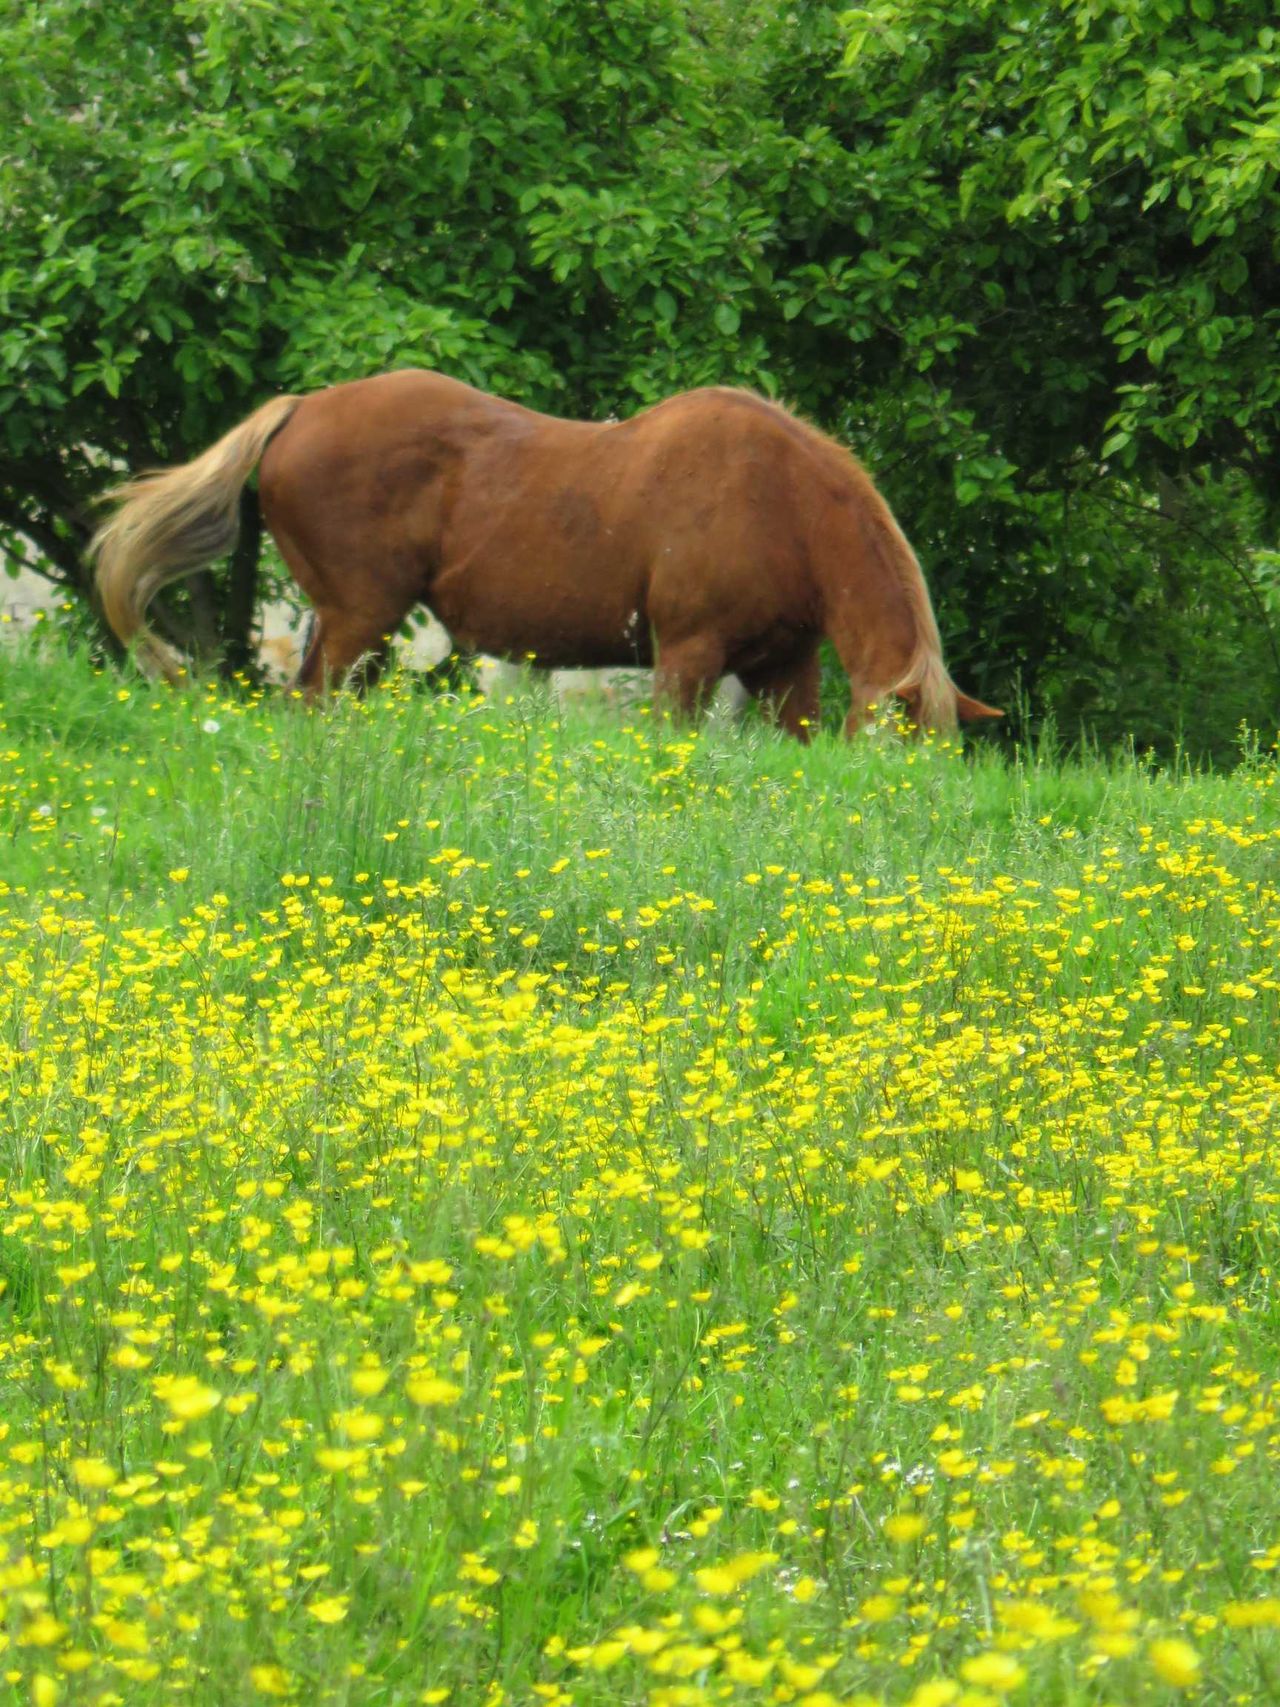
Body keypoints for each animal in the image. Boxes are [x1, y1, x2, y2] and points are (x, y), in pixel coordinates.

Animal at [95, 370, 1010, 737]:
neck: (780, 504)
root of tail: (300, 407)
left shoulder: (786, 666)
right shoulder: (686, 656)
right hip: (360, 617)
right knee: (315, 702)